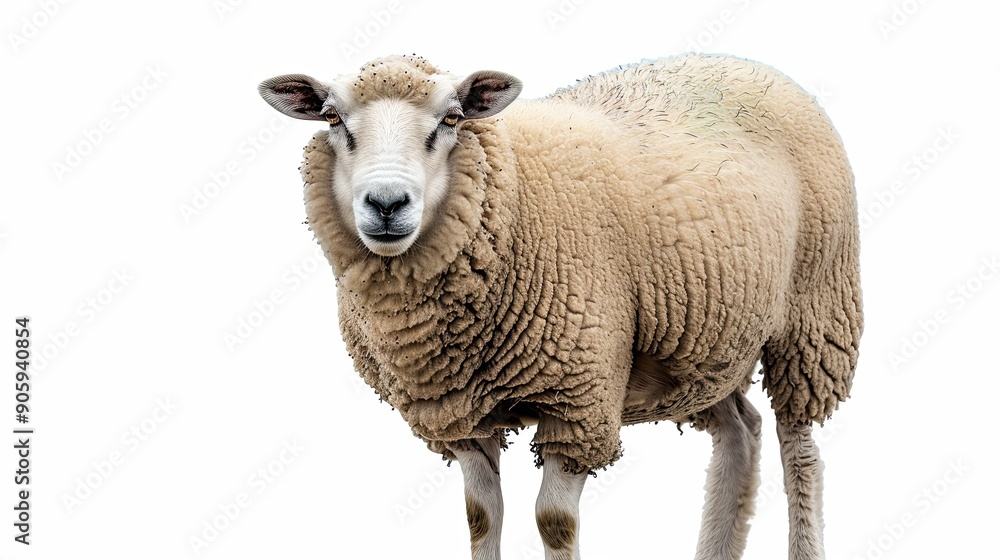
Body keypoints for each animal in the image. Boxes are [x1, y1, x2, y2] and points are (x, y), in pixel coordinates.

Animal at [258, 53, 862, 560]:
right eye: (332, 118)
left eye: (452, 119)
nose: (386, 204)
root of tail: (754, 67)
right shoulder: (459, 416)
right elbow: (480, 517)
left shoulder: (580, 399)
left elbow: (554, 522)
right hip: (705, 345)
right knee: (741, 431)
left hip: (815, 316)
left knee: (799, 450)